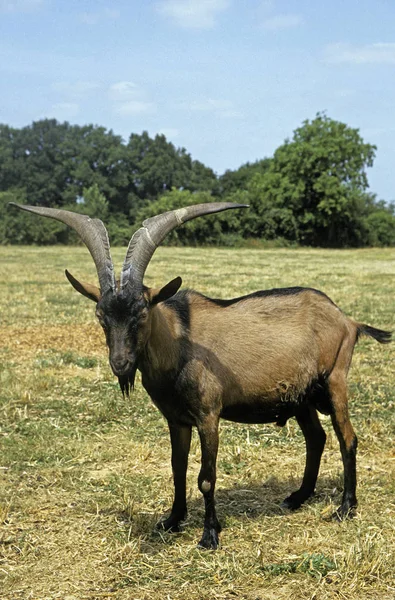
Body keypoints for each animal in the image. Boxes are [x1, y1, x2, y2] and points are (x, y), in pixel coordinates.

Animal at [10, 202, 392, 548]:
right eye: (101, 317)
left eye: (142, 315)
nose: (120, 363)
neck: (179, 344)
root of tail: (347, 320)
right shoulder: (176, 419)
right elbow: (177, 467)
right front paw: (172, 519)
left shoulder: (208, 415)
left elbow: (206, 477)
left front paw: (209, 534)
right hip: (300, 396)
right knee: (316, 438)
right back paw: (297, 497)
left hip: (335, 381)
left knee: (347, 439)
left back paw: (345, 508)